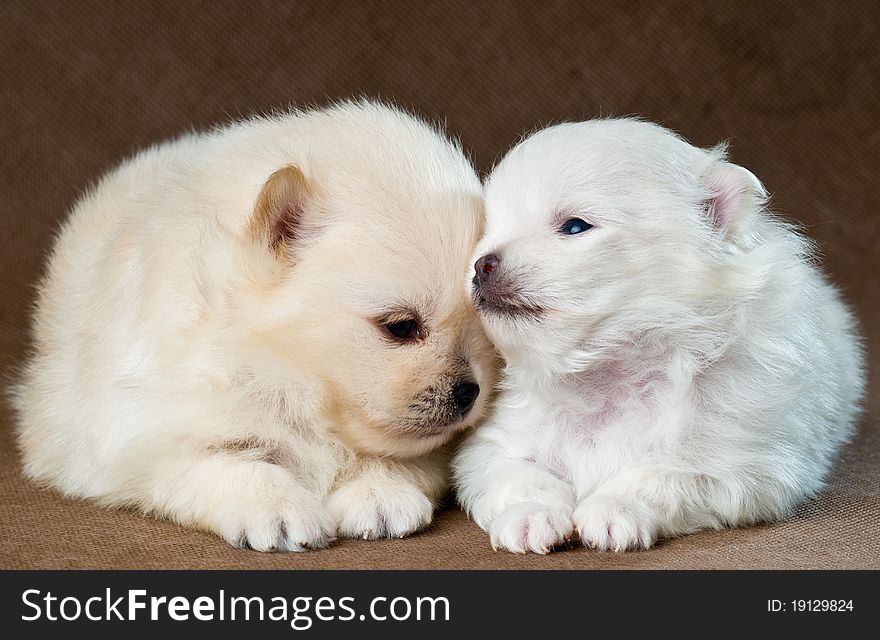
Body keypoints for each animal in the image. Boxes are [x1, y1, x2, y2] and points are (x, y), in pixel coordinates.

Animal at [13, 102, 496, 552]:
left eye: (481, 331)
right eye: (401, 327)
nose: (469, 392)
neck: (275, 366)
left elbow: (388, 455)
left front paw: (380, 492)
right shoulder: (141, 439)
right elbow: (232, 462)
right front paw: (276, 508)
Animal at [454, 117, 868, 552]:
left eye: (574, 227)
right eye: (489, 230)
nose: (482, 264)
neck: (608, 370)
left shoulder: (737, 463)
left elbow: (660, 473)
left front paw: (613, 510)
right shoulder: (494, 445)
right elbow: (519, 476)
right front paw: (530, 516)